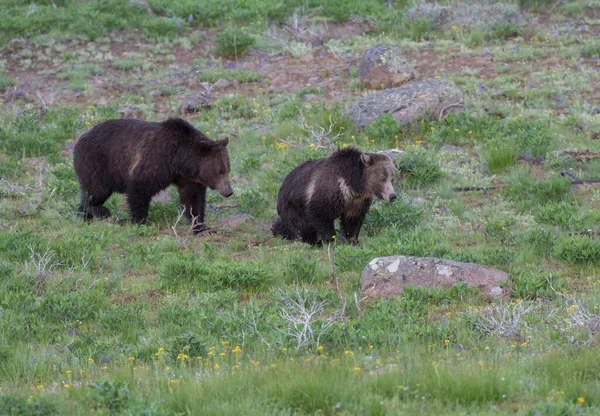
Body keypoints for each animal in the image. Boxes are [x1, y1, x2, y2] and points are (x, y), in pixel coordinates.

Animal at [74, 118, 233, 234]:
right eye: (219, 171)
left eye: (228, 169)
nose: (229, 191)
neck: (179, 160)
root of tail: (81, 138)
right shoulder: (155, 161)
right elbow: (139, 190)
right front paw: (140, 222)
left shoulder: (188, 179)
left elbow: (193, 200)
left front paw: (201, 226)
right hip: (97, 164)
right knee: (96, 191)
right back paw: (101, 211)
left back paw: (84, 217)